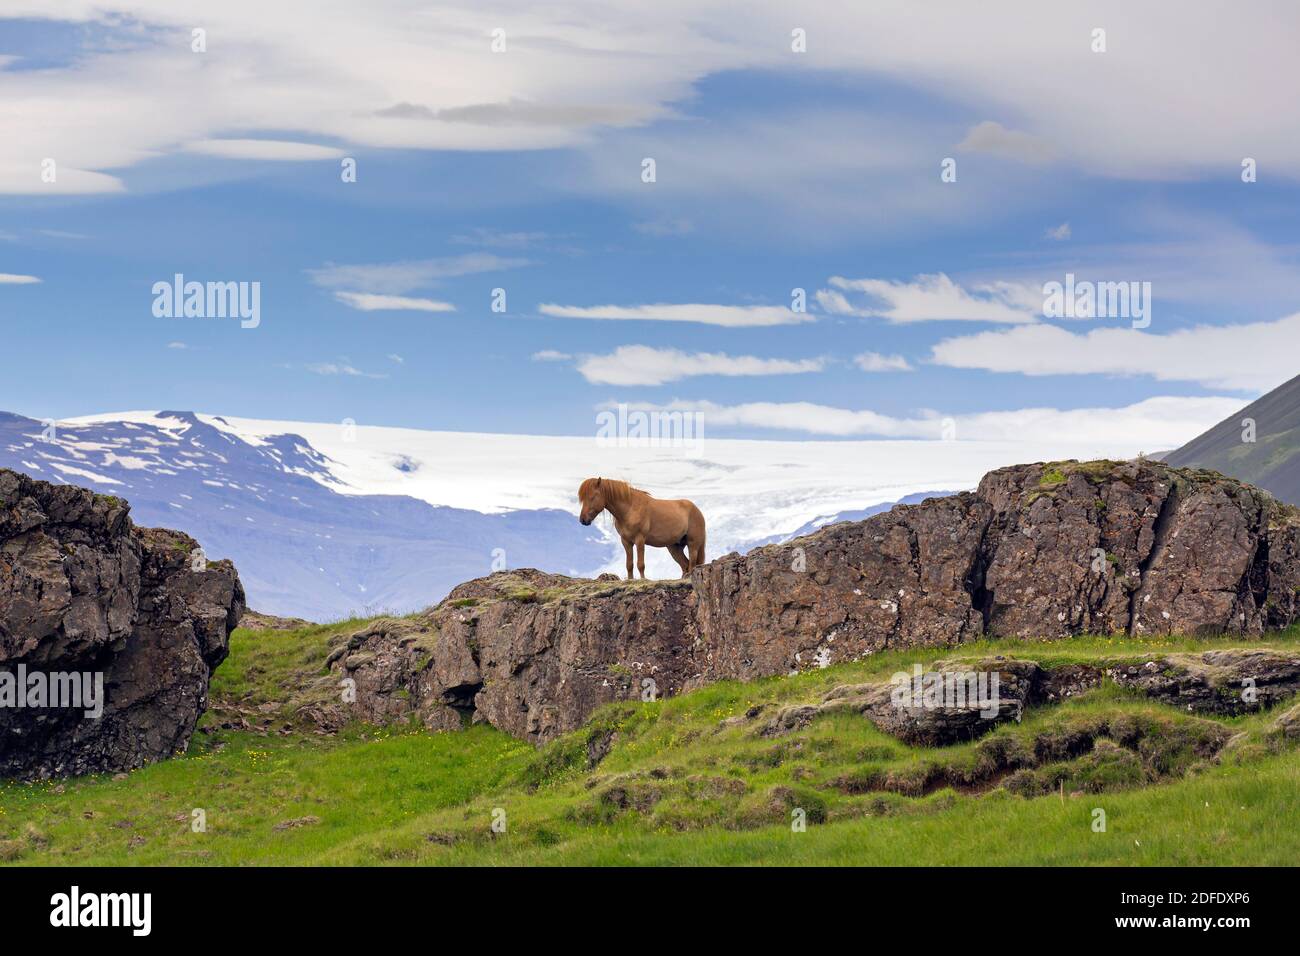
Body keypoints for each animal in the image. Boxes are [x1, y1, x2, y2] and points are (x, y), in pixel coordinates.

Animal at [577, 477, 706, 580]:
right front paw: (630, 580)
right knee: (685, 564)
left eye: (593, 497)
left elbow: (640, 564)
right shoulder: (626, 541)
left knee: (692, 562)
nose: (583, 520)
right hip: (674, 547)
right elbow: (629, 564)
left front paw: (643, 579)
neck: (630, 509)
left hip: (693, 544)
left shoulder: (640, 540)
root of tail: (697, 510)